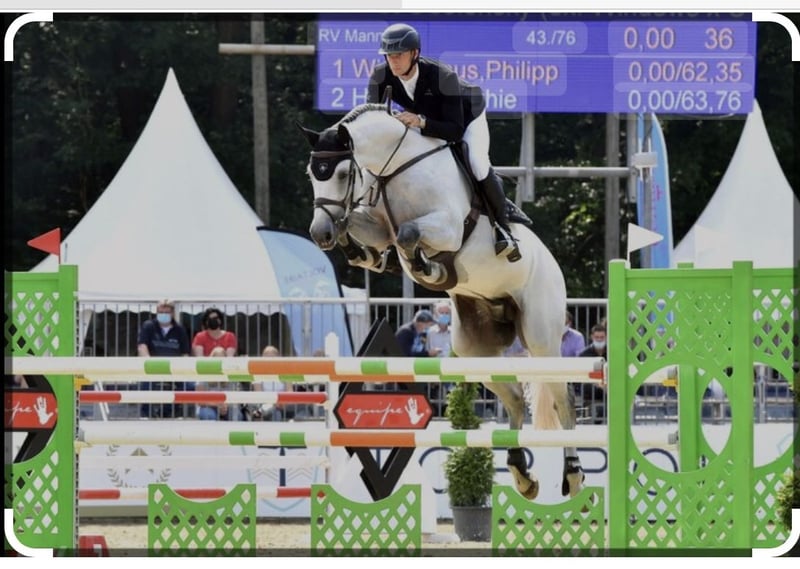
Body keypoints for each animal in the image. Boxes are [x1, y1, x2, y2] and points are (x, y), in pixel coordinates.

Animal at [297, 103, 584, 501]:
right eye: (313, 174)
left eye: (341, 174)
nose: (320, 233)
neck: (395, 169)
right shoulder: (376, 224)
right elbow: (362, 227)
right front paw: (364, 253)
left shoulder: (445, 228)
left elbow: (408, 233)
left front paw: (426, 266)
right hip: (474, 350)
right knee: (513, 397)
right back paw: (522, 475)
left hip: (542, 337)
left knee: (562, 399)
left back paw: (572, 475)